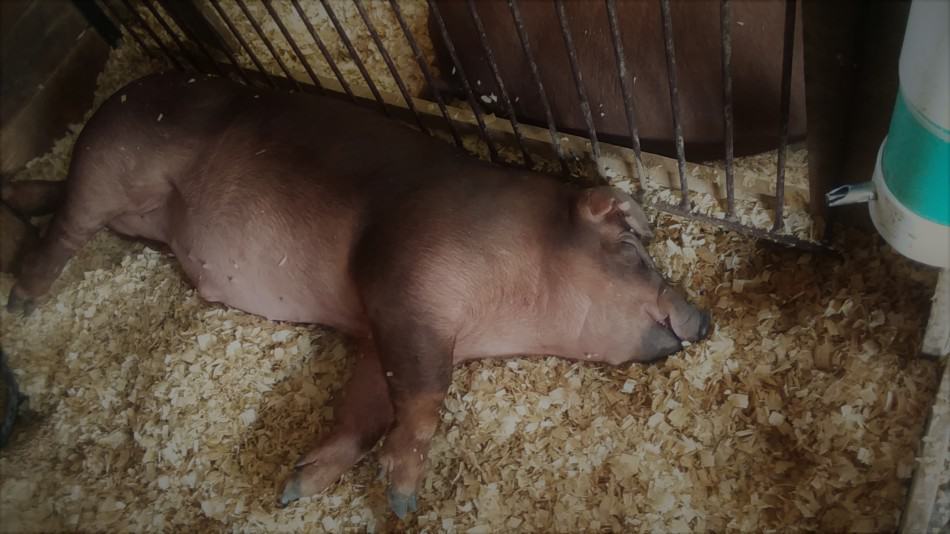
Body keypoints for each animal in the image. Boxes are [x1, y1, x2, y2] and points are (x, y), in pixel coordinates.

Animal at [5, 71, 708, 520]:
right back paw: (22, 299)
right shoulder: (404, 284)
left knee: (55, 198)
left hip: (135, 214)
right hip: (111, 167)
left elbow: (364, 408)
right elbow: (423, 395)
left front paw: (295, 489)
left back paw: (15, 199)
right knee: (66, 226)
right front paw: (402, 502)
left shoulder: (379, 332)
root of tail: (119, 93)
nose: (704, 317)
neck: (502, 309)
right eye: (636, 251)